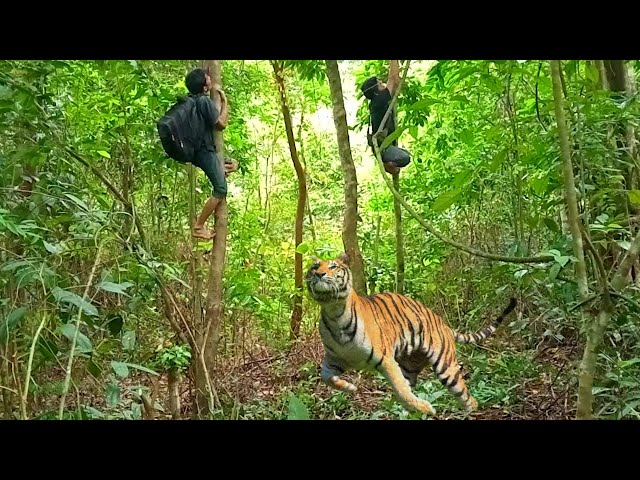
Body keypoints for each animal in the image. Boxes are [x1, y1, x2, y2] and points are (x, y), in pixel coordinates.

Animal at [302, 251, 516, 416]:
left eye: (333, 267)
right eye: (315, 266)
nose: (319, 274)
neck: (334, 312)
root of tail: (443, 323)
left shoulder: (386, 359)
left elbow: (401, 391)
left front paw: (426, 408)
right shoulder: (335, 359)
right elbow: (325, 376)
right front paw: (349, 387)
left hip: (446, 367)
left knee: (466, 396)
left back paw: (468, 410)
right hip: (409, 366)